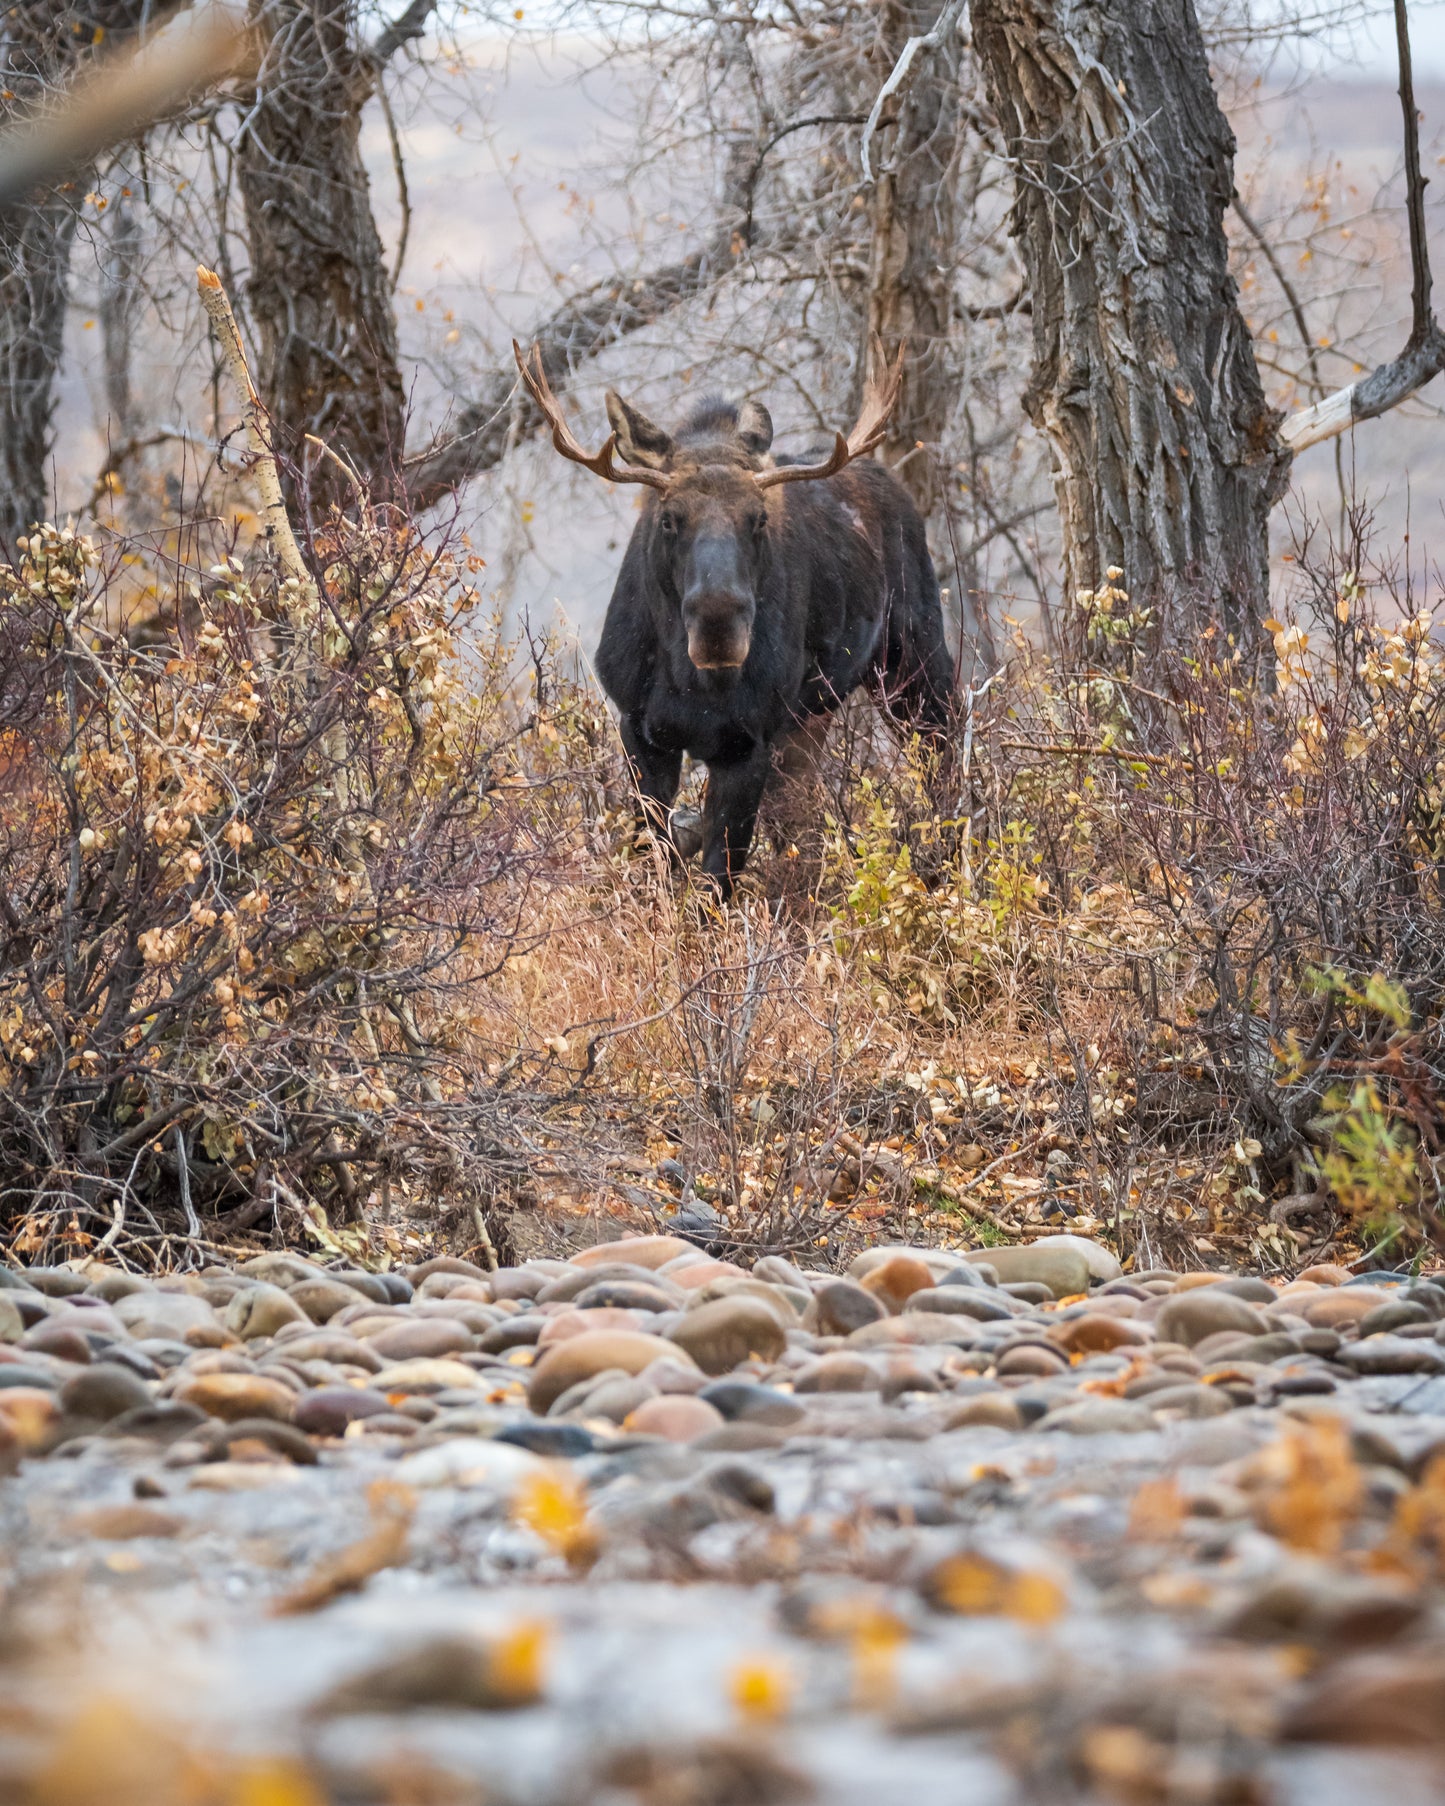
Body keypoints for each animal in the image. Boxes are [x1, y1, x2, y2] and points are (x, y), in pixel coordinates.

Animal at [512, 337, 953, 888]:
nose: (718, 626)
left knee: (946, 770)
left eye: (758, 518)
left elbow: (716, 879)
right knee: (805, 822)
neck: (688, 683)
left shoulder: (748, 744)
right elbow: (652, 853)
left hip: (915, 665)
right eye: (668, 519)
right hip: (814, 717)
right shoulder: (640, 728)